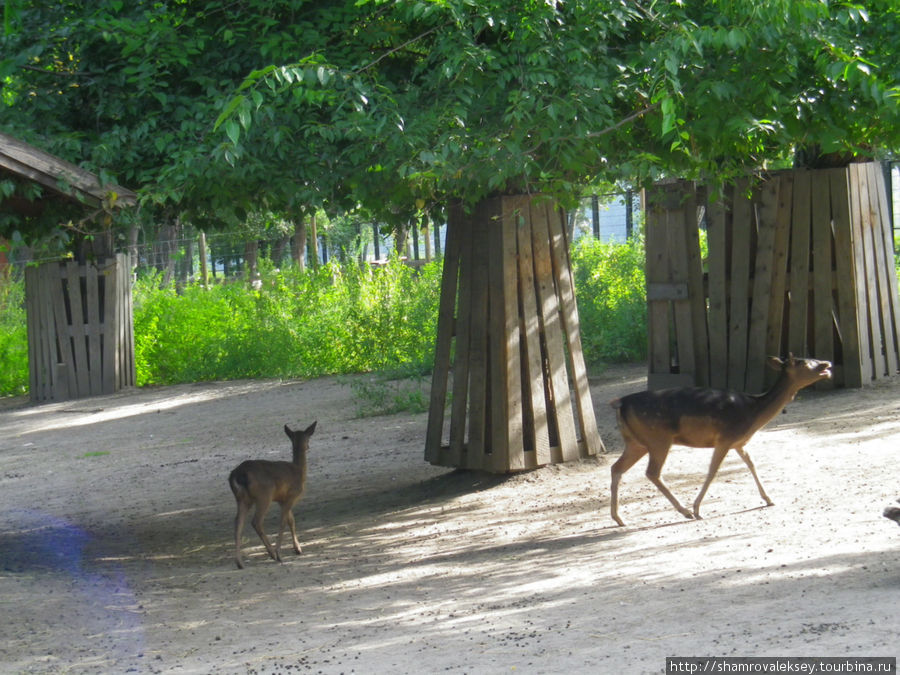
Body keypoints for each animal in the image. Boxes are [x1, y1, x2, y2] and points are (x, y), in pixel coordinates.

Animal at [229, 422, 316, 572]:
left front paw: (298, 549)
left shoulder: (282, 500)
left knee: (238, 523)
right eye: (308, 438)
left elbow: (291, 520)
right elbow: (283, 521)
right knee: (256, 521)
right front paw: (280, 553)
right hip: (264, 495)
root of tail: (238, 475)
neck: (299, 471)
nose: (308, 446)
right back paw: (273, 554)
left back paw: (239, 562)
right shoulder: (292, 495)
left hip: (242, 498)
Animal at [608, 356, 832, 524]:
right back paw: (685, 511)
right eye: (803, 362)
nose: (827, 364)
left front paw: (768, 498)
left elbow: (751, 463)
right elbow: (713, 471)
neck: (753, 413)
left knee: (616, 468)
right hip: (658, 439)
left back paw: (619, 518)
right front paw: (697, 509)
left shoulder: (739, 443)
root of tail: (621, 403)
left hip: (636, 442)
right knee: (652, 472)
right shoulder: (725, 437)